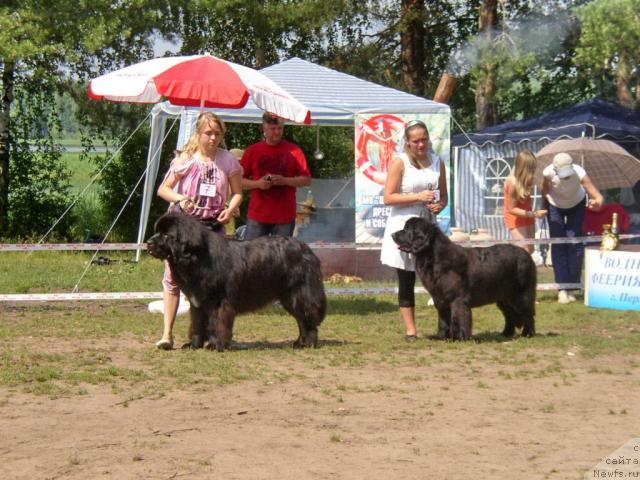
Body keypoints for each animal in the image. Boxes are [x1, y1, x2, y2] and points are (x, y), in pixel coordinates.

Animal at [145, 214, 324, 352]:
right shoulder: (197, 302)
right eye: (157, 232)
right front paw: (193, 345)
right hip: (289, 298)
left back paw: (308, 343)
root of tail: (306, 249)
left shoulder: (217, 302)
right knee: (301, 320)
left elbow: (216, 323)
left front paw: (215, 345)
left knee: (306, 319)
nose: (148, 243)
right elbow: (197, 325)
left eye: (166, 235)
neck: (197, 257)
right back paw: (300, 343)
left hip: (298, 296)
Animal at [392, 214, 536, 342]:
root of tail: (527, 255)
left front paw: (460, 337)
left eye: (407, 229)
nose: (392, 235)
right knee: (509, 314)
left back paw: (528, 334)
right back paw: (506, 333)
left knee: (528, 313)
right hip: (503, 298)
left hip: (520, 294)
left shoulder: (458, 298)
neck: (433, 257)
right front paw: (441, 336)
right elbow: (443, 319)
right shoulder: (440, 298)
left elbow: (459, 317)